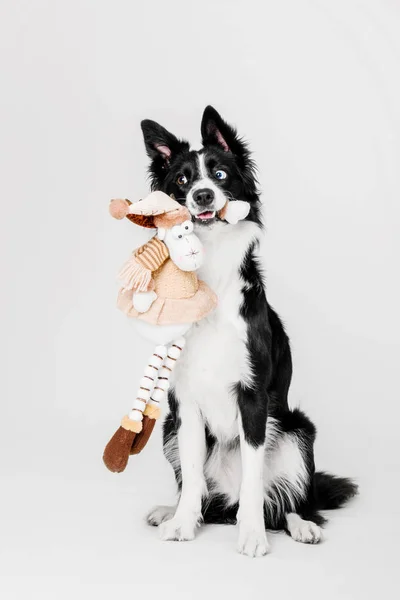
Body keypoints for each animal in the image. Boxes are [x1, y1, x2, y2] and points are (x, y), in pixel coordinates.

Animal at [139, 104, 354, 556]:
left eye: (220, 174)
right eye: (182, 180)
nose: (203, 196)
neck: (213, 276)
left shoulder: (253, 397)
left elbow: (255, 480)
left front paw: (252, 534)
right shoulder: (183, 401)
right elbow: (191, 476)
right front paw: (182, 523)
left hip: (297, 429)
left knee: (289, 501)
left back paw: (301, 525)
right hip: (167, 427)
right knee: (204, 495)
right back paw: (172, 511)